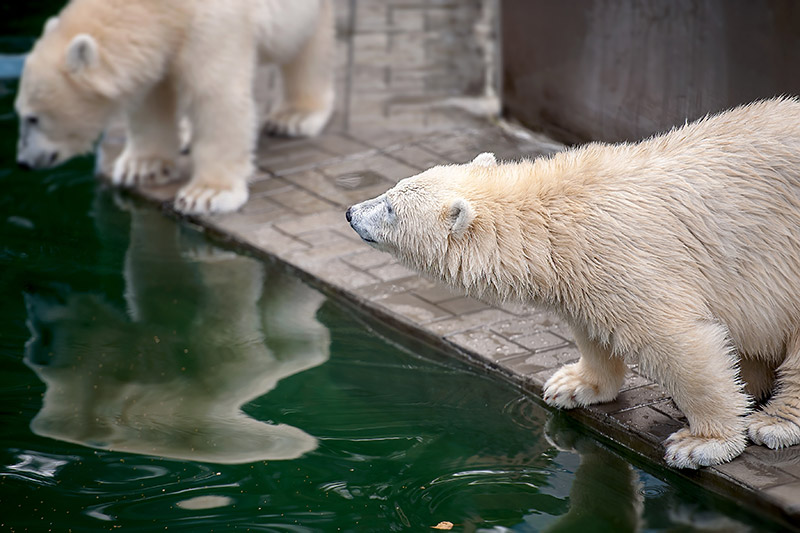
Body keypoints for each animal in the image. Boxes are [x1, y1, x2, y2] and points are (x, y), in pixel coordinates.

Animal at [15, 0, 334, 212]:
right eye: (21, 114)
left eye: (33, 118)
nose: (23, 162)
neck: (164, 8)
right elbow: (152, 98)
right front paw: (142, 168)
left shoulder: (214, 22)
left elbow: (215, 96)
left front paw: (207, 194)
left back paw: (295, 116)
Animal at [348, 97, 800, 468]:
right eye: (390, 190)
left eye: (390, 207)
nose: (351, 212)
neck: (551, 218)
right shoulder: (583, 273)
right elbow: (593, 327)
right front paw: (572, 386)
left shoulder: (626, 258)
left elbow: (678, 341)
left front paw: (702, 443)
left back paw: (773, 422)